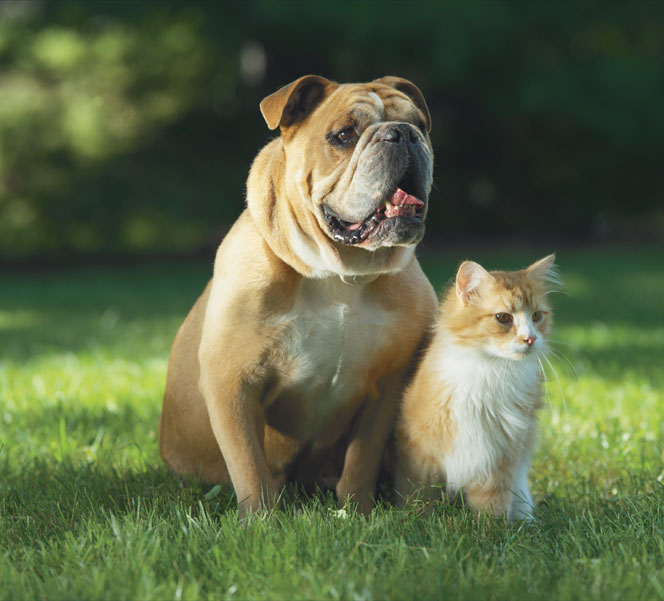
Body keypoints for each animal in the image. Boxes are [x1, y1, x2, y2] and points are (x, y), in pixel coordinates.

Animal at [394, 253, 560, 520]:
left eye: (536, 316)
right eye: (503, 317)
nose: (531, 338)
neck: (489, 371)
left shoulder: (499, 456)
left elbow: (493, 506)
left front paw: (493, 528)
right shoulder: (418, 454)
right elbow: (418, 496)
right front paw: (415, 519)